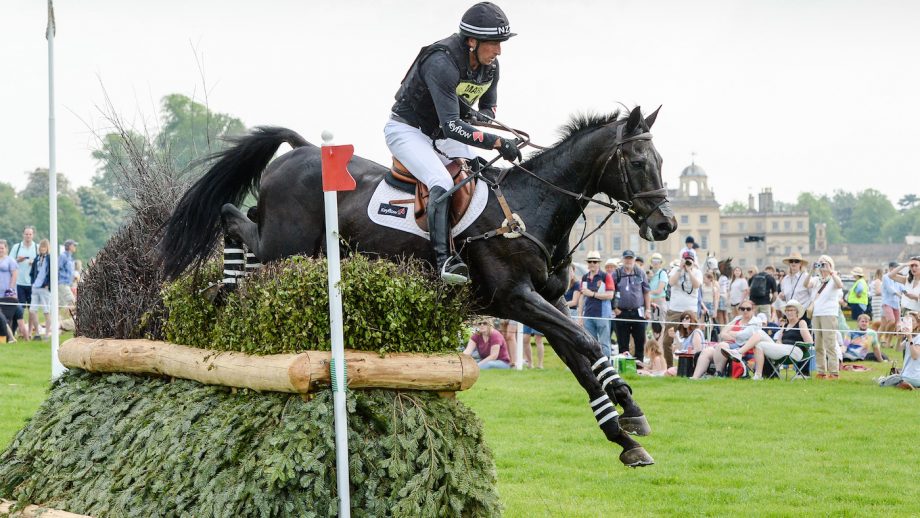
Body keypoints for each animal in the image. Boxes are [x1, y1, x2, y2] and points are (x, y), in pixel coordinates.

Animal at [156, 105, 676, 468]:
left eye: (659, 159)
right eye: (636, 161)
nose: (666, 224)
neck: (534, 206)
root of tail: (301, 149)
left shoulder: (548, 302)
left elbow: (583, 359)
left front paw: (624, 436)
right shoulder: (515, 300)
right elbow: (590, 342)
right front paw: (630, 404)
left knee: (239, 217)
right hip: (286, 246)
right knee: (231, 216)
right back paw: (225, 289)